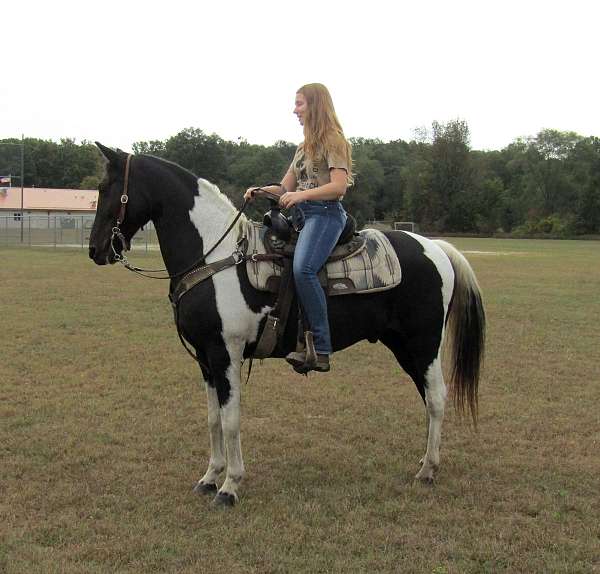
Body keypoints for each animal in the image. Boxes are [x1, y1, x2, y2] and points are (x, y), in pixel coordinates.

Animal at [89, 144, 486, 508]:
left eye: (106, 187)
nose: (95, 250)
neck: (215, 256)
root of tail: (436, 248)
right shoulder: (205, 359)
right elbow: (213, 418)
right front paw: (209, 477)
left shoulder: (226, 354)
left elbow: (230, 419)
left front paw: (230, 486)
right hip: (404, 347)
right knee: (427, 398)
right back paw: (425, 460)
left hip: (423, 344)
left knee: (436, 397)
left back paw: (428, 470)